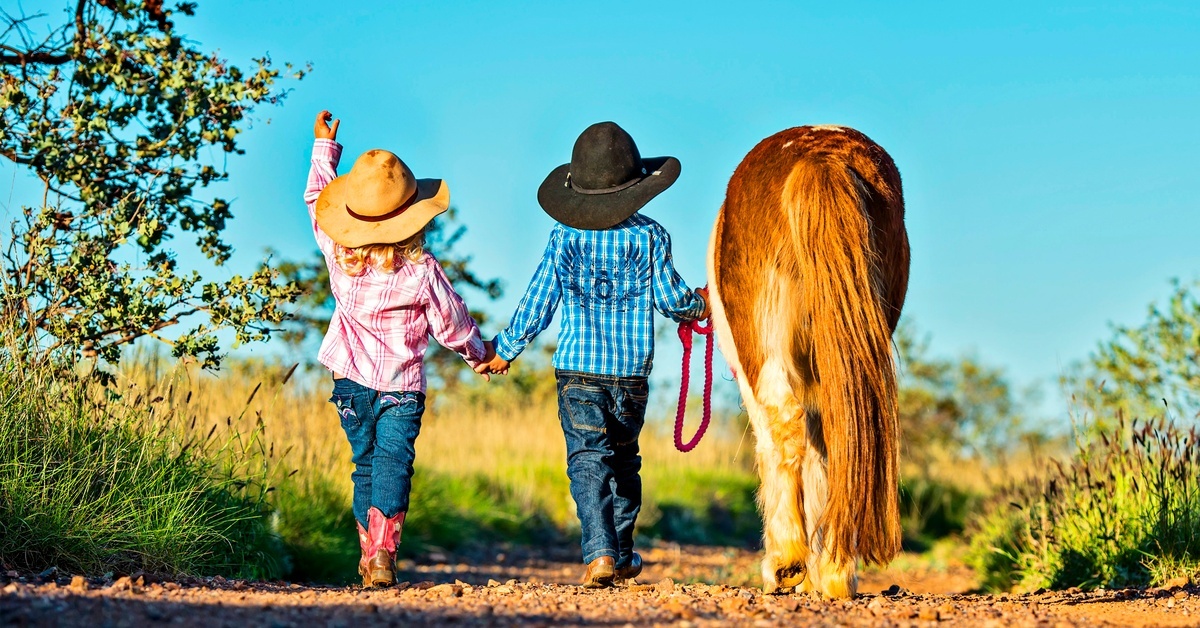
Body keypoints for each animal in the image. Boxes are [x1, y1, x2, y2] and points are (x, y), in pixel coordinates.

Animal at [705, 125, 909, 598]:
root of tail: (821, 158)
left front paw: (792, 568)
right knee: (839, 435)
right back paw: (835, 571)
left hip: (762, 347)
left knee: (783, 425)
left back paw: (787, 562)